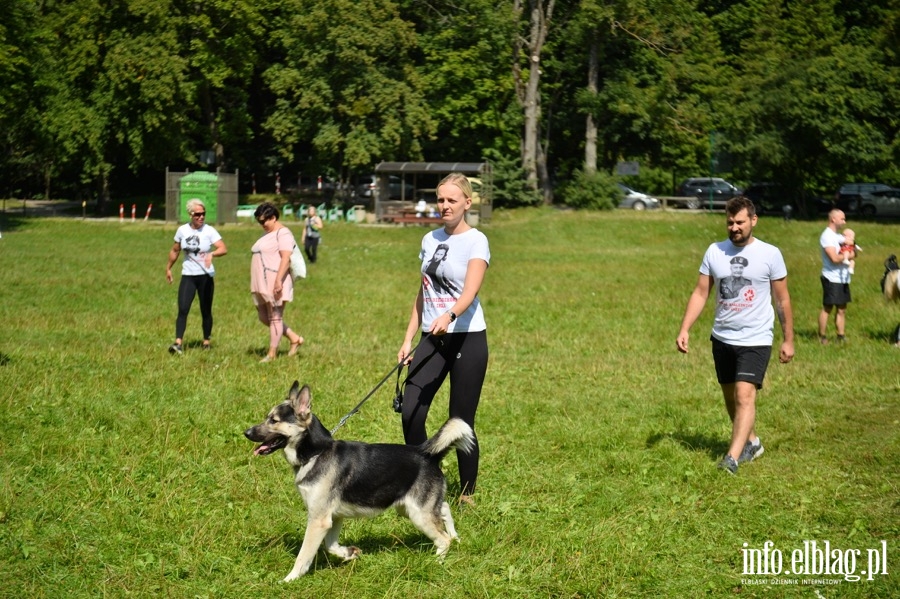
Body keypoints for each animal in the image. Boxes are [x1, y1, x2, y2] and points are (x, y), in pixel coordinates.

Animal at [243, 380, 474, 580]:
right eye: (267, 417)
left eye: (273, 421)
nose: (246, 432)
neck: (316, 453)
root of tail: (428, 455)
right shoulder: (333, 518)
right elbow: (330, 545)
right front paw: (349, 553)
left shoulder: (318, 520)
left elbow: (303, 555)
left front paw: (290, 579)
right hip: (409, 508)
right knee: (445, 509)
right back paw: (456, 537)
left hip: (419, 515)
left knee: (443, 539)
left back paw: (437, 562)